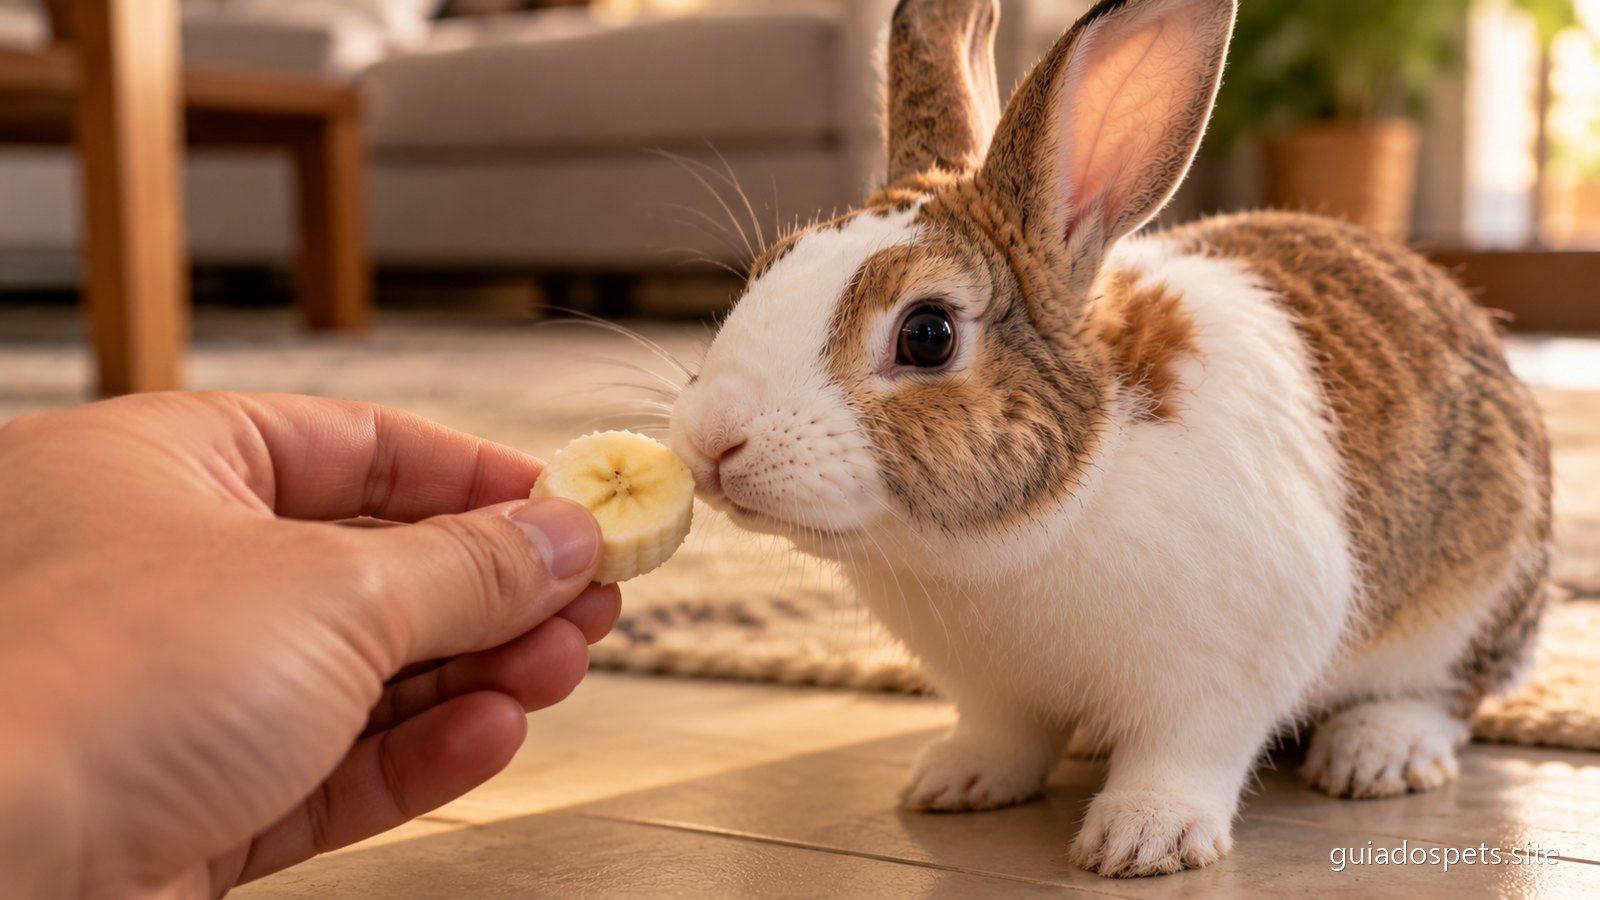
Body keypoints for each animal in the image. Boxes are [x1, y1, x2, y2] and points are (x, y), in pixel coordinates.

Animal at [668, 0, 1551, 878]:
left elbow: (1186, 755)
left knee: (1450, 694)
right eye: (769, 266)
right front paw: (957, 781)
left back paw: (1378, 750)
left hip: (1475, 596)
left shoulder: (1226, 671)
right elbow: (1004, 736)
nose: (712, 440)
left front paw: (1142, 839)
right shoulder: (993, 692)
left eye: (927, 334)